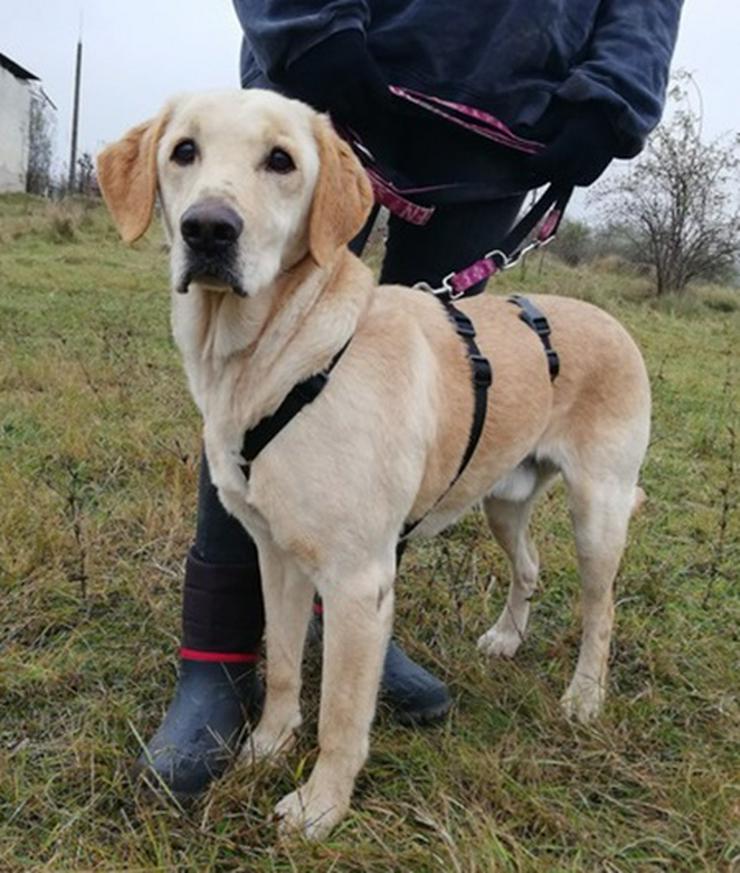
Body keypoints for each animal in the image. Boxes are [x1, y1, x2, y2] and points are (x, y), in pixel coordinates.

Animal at [97, 88, 648, 836]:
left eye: (281, 161)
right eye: (184, 150)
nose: (208, 229)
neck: (279, 353)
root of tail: (615, 322)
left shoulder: (357, 578)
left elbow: (340, 708)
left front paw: (321, 805)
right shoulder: (275, 553)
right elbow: (282, 668)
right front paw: (266, 747)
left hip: (598, 512)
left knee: (602, 609)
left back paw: (585, 696)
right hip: (503, 498)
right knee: (530, 565)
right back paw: (507, 637)